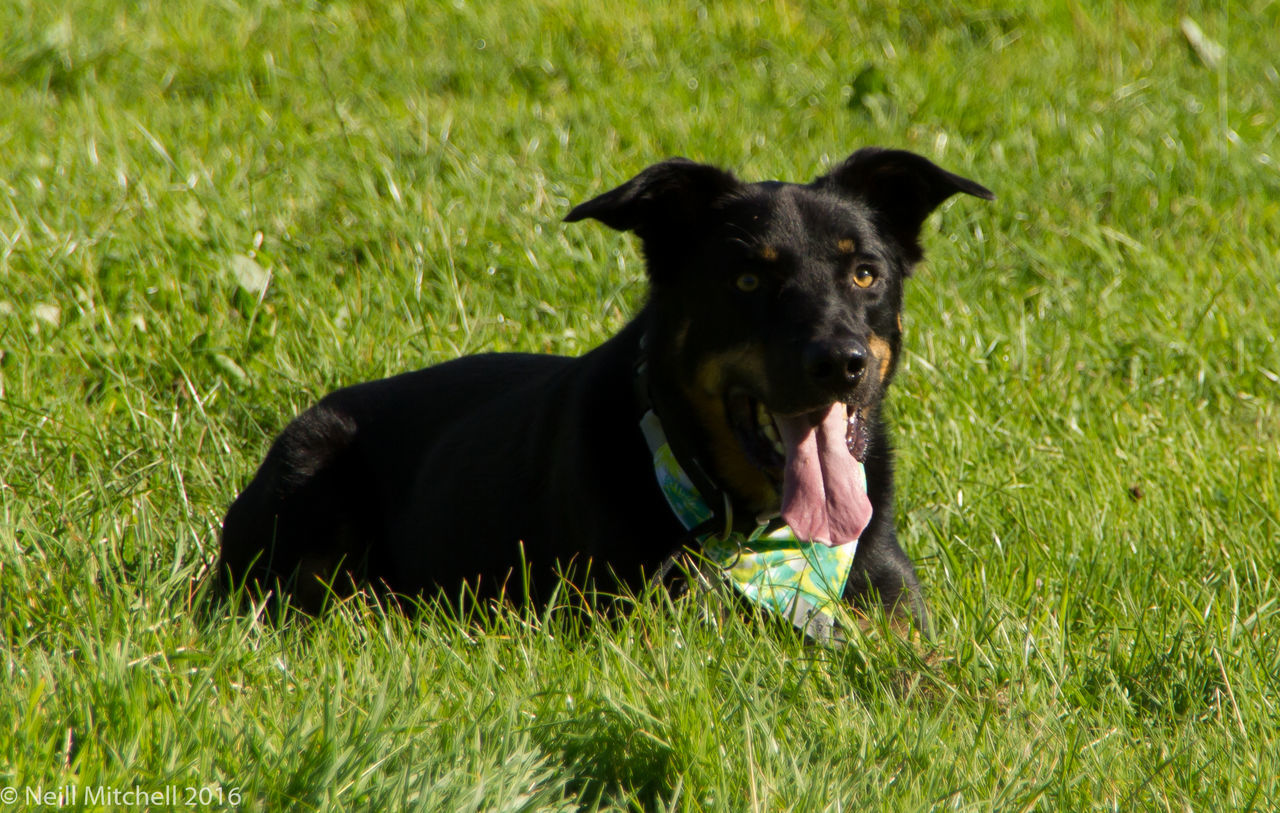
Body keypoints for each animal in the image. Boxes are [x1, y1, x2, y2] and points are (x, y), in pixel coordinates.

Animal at [220, 147, 993, 629]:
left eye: (865, 273)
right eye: (747, 280)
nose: (840, 361)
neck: (766, 534)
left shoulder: (889, 603)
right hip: (305, 469)